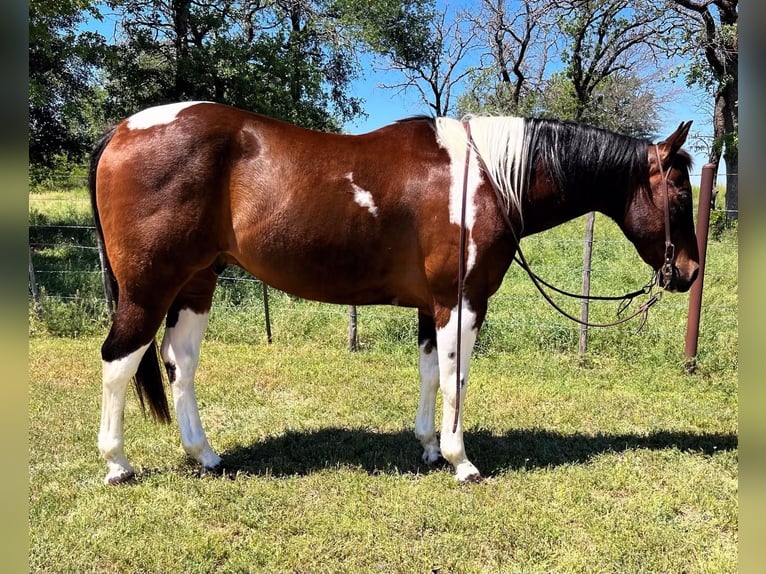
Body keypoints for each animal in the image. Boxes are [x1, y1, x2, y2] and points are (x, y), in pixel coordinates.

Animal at [90, 100, 704, 486]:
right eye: (679, 194)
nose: (689, 272)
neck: (483, 179)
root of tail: (122, 131)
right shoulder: (463, 301)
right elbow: (457, 377)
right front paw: (461, 461)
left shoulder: (432, 306)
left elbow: (432, 372)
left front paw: (429, 447)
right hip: (149, 288)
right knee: (120, 360)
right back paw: (117, 464)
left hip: (197, 283)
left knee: (180, 362)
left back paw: (206, 455)